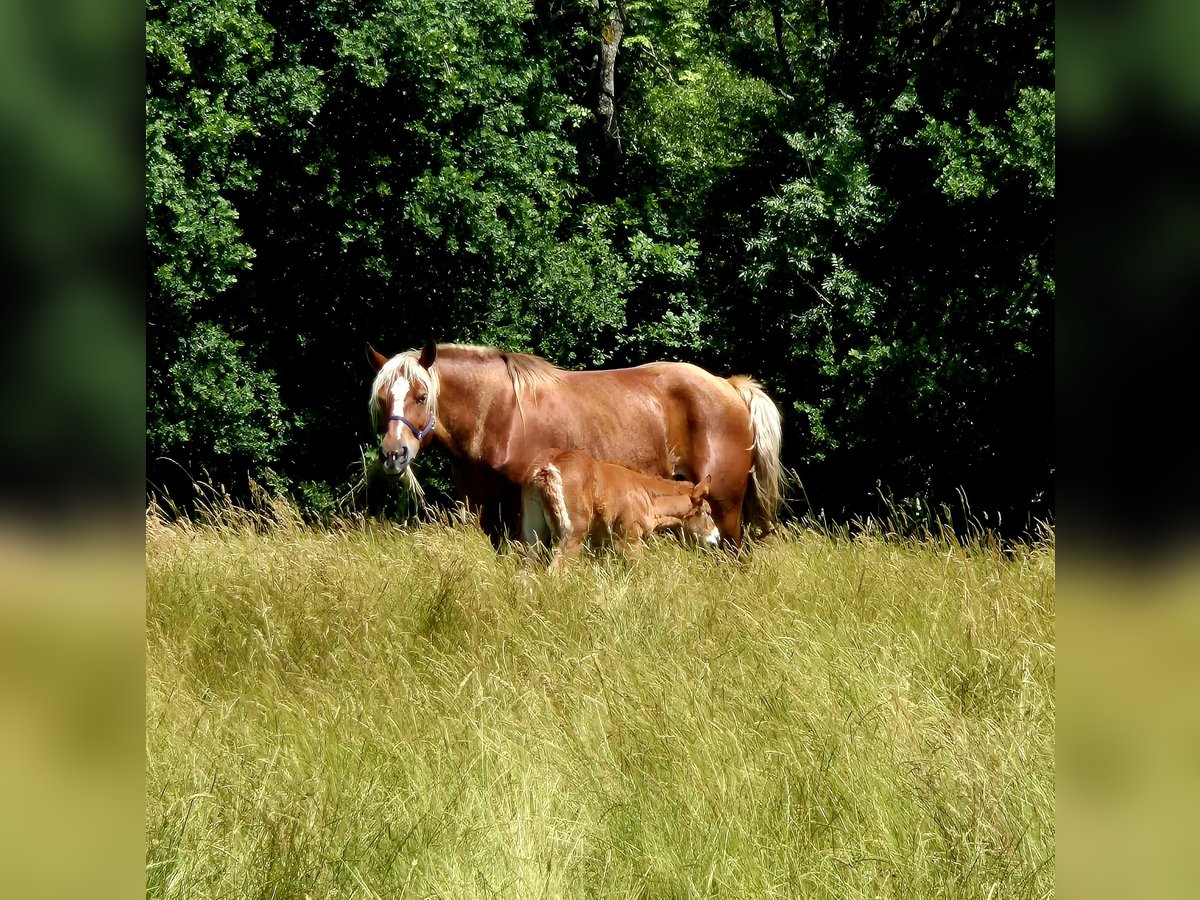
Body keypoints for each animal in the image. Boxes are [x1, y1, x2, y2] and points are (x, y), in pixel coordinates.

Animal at [365, 340, 784, 549]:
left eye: (421, 396)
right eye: (382, 400)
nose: (393, 454)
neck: (500, 413)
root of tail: (729, 387)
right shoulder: (490, 514)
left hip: (725, 509)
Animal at [521, 449, 720, 568]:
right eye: (708, 511)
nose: (717, 536)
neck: (647, 495)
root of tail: (549, 467)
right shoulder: (628, 538)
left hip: (532, 531)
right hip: (572, 533)